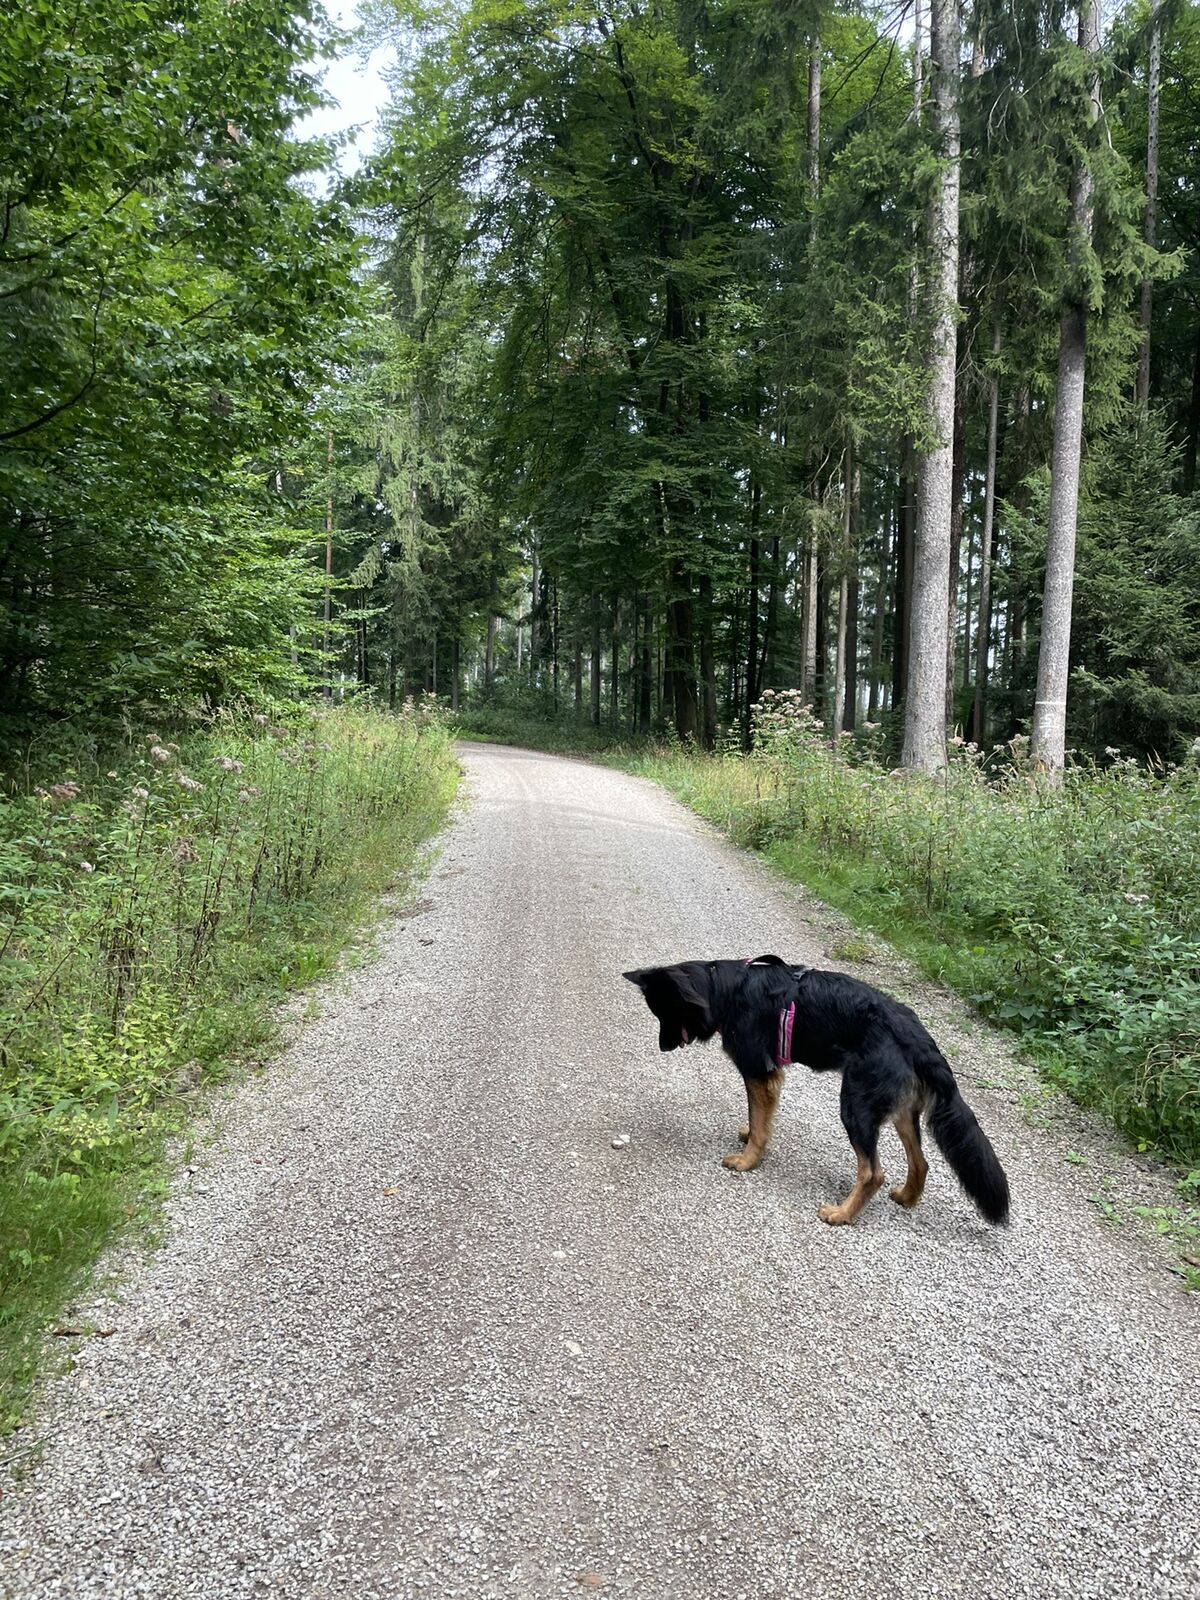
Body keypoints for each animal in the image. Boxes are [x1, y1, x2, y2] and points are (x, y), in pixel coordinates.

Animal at [623, 955, 1009, 1227]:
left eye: (666, 1014)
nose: (662, 1047)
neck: (728, 990)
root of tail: (914, 1034)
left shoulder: (758, 1072)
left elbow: (760, 1123)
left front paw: (748, 1160)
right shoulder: (767, 1078)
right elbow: (759, 1118)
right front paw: (750, 1139)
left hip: (855, 1104)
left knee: (873, 1172)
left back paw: (842, 1214)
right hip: (900, 1112)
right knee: (921, 1162)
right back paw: (906, 1197)